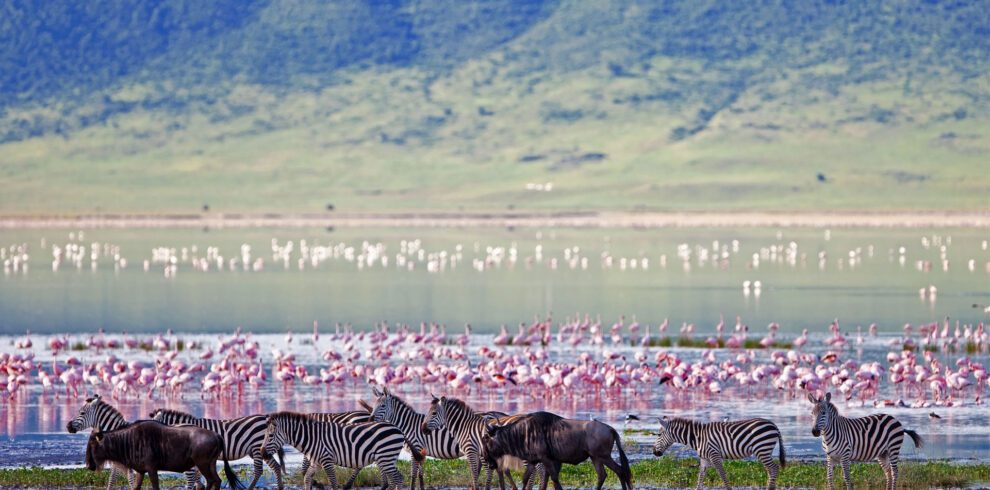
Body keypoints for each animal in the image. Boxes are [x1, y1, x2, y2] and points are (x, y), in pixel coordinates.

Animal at [151, 408, 284, 488]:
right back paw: (279, 487)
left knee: (258, 470)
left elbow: (193, 479)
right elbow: (199, 480)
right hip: (262, 450)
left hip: (257, 448)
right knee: (276, 467)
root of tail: (266, 417)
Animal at [262, 410, 408, 490]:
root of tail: (397, 429)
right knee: (396, 479)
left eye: (270, 436)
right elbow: (307, 478)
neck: (312, 437)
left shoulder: (327, 460)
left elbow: (333, 482)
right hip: (386, 458)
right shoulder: (316, 462)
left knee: (398, 478)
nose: (262, 453)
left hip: (386, 457)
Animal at [656, 416, 788, 488]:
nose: (654, 452)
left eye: (658, 435)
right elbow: (700, 478)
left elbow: (723, 475)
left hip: (762, 449)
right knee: (770, 470)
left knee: (774, 469)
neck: (698, 437)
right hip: (764, 451)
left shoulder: (714, 455)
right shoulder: (704, 459)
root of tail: (774, 425)